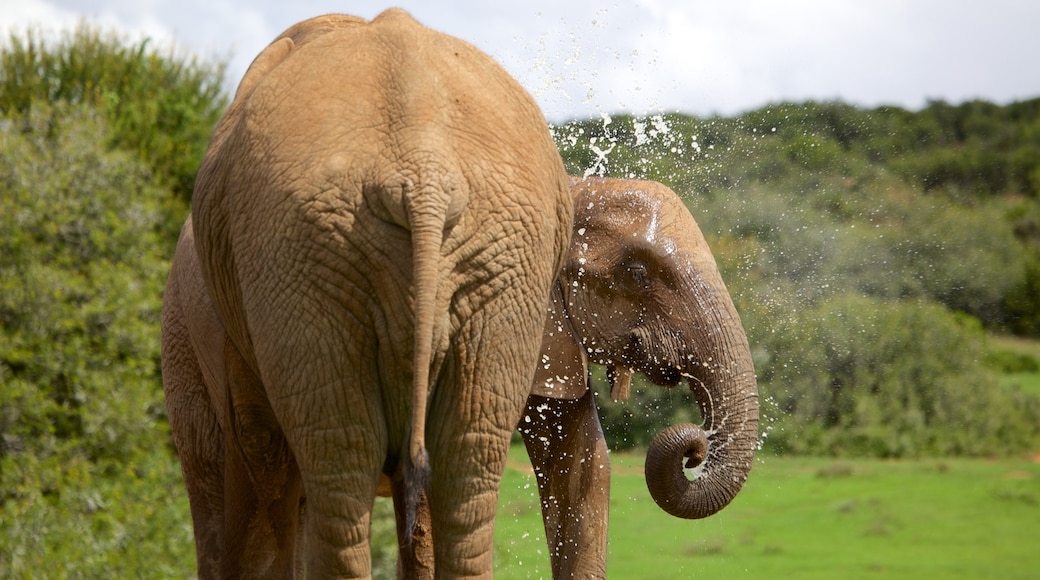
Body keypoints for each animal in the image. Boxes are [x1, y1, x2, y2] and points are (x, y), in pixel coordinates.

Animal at [160, 10, 578, 580]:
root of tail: (422, 170)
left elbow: (260, 454)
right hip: (493, 263)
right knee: (462, 462)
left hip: (306, 250)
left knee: (338, 463)